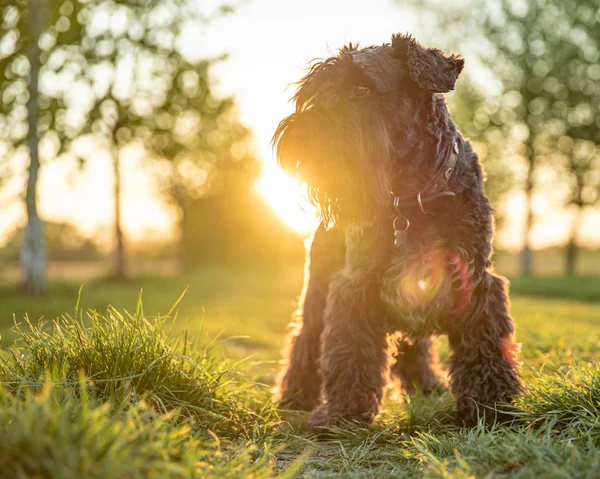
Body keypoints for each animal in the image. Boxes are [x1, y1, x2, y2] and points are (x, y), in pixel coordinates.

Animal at [272, 34, 520, 432]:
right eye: (317, 89)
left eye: (362, 87)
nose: (299, 134)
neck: (413, 195)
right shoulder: (355, 284)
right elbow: (350, 349)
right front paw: (343, 413)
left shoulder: (474, 279)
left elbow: (484, 344)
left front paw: (493, 407)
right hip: (318, 286)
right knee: (306, 336)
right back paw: (296, 395)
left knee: (413, 345)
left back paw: (427, 386)